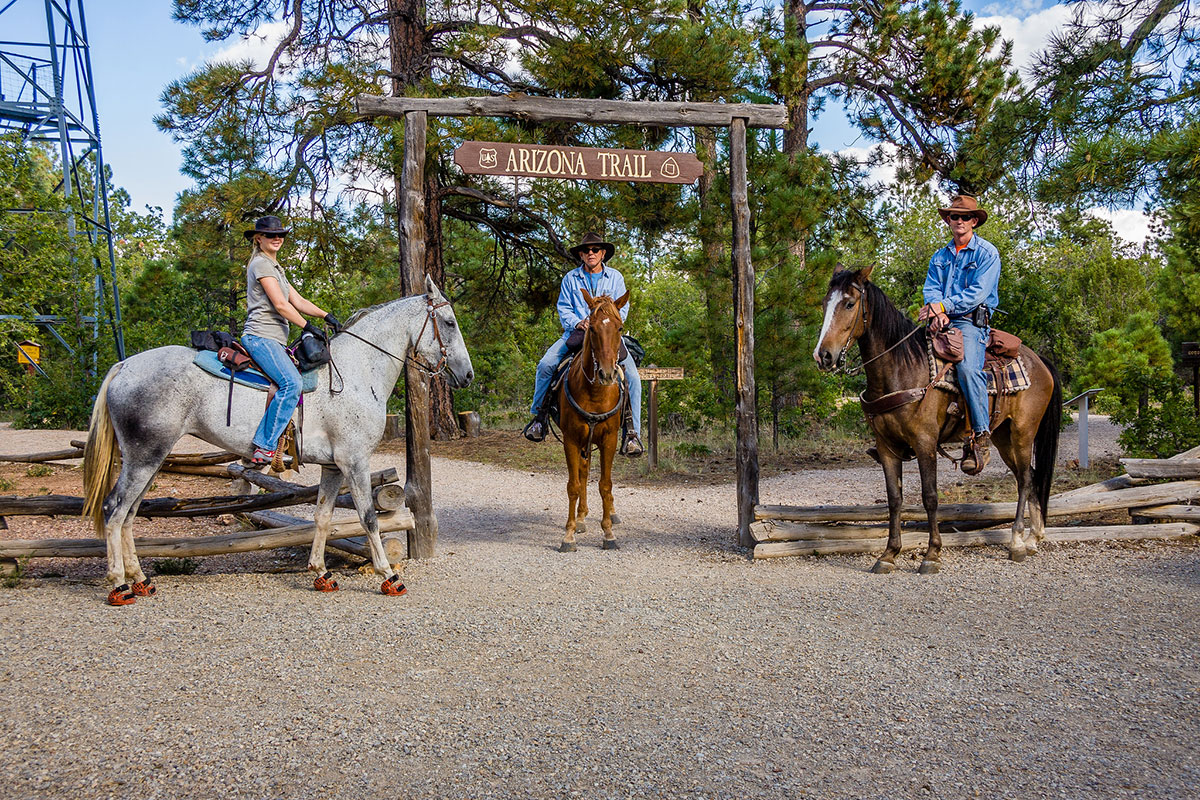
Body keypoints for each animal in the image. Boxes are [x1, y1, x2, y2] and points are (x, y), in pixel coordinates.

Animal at [79, 278, 470, 604]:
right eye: (449, 322)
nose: (467, 375)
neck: (357, 373)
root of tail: (125, 366)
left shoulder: (333, 467)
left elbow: (323, 516)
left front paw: (321, 573)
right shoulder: (355, 462)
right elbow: (369, 517)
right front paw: (388, 575)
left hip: (151, 459)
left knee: (129, 514)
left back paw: (141, 580)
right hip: (144, 457)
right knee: (114, 510)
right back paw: (119, 585)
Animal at [554, 291, 628, 554]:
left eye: (619, 327)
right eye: (592, 328)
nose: (607, 374)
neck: (595, 393)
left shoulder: (610, 440)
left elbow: (606, 485)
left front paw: (608, 533)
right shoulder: (572, 440)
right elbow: (574, 485)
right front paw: (569, 534)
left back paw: (612, 514)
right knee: (584, 473)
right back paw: (581, 517)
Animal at [816, 268, 1060, 575]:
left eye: (849, 303)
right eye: (825, 303)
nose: (823, 356)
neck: (902, 369)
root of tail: (1039, 360)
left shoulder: (925, 443)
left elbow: (930, 496)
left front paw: (932, 555)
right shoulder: (886, 447)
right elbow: (894, 499)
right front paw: (888, 554)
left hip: (1023, 432)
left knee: (1026, 479)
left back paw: (1017, 542)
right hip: (1003, 436)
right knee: (1027, 476)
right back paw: (1033, 539)